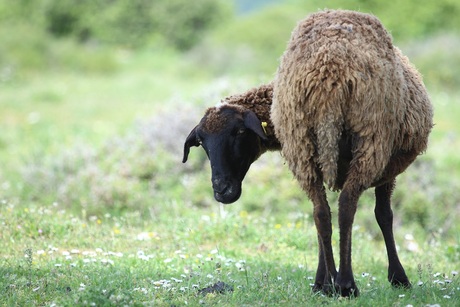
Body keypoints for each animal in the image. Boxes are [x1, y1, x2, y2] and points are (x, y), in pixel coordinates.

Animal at [182, 9, 432, 298]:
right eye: (202, 142)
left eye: (240, 132)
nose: (221, 190)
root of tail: (330, 77)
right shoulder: (385, 168)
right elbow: (384, 215)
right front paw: (399, 278)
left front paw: (323, 281)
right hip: (371, 140)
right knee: (345, 207)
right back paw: (346, 284)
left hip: (304, 146)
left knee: (321, 213)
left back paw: (328, 284)